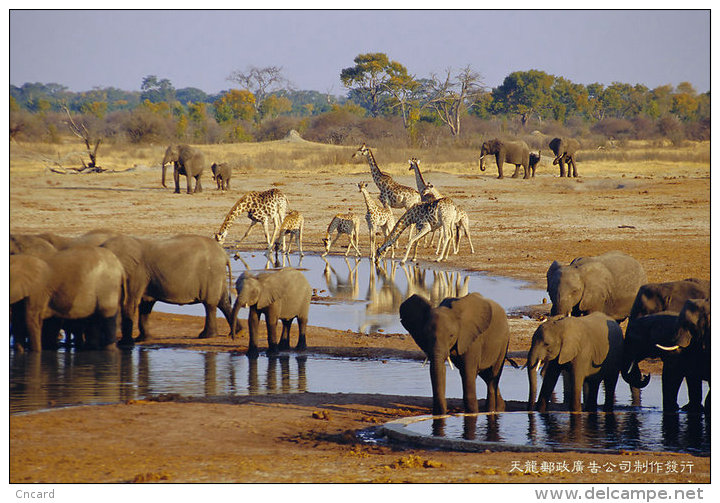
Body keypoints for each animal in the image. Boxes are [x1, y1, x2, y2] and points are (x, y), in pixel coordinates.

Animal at [100, 235, 236, 346]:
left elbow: (130, 302)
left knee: (210, 304)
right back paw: (236, 332)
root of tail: (224, 254)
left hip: (212, 274)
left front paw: (125, 344)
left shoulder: (135, 273)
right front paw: (142, 339)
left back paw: (206, 336)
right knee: (223, 302)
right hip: (217, 274)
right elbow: (145, 304)